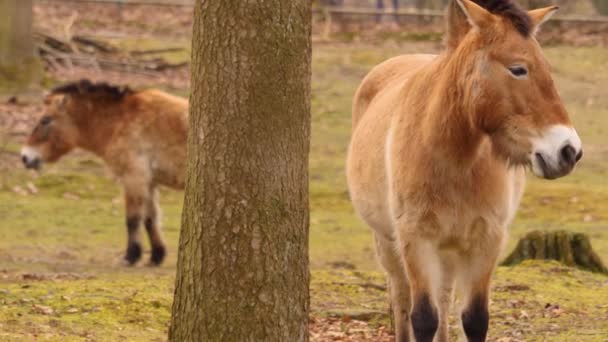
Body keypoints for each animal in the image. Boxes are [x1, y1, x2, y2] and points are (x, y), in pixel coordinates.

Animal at [20, 81, 188, 268]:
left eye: (45, 120)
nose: (25, 157)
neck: (120, 120)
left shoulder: (133, 178)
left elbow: (133, 219)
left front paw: (130, 256)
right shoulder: (149, 182)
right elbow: (150, 219)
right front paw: (156, 256)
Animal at [346, 1, 580, 340]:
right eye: (518, 69)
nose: (569, 151)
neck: (454, 162)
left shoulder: (486, 241)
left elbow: (474, 318)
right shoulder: (416, 240)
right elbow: (423, 318)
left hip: (448, 252)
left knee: (444, 301)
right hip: (390, 244)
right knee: (401, 299)